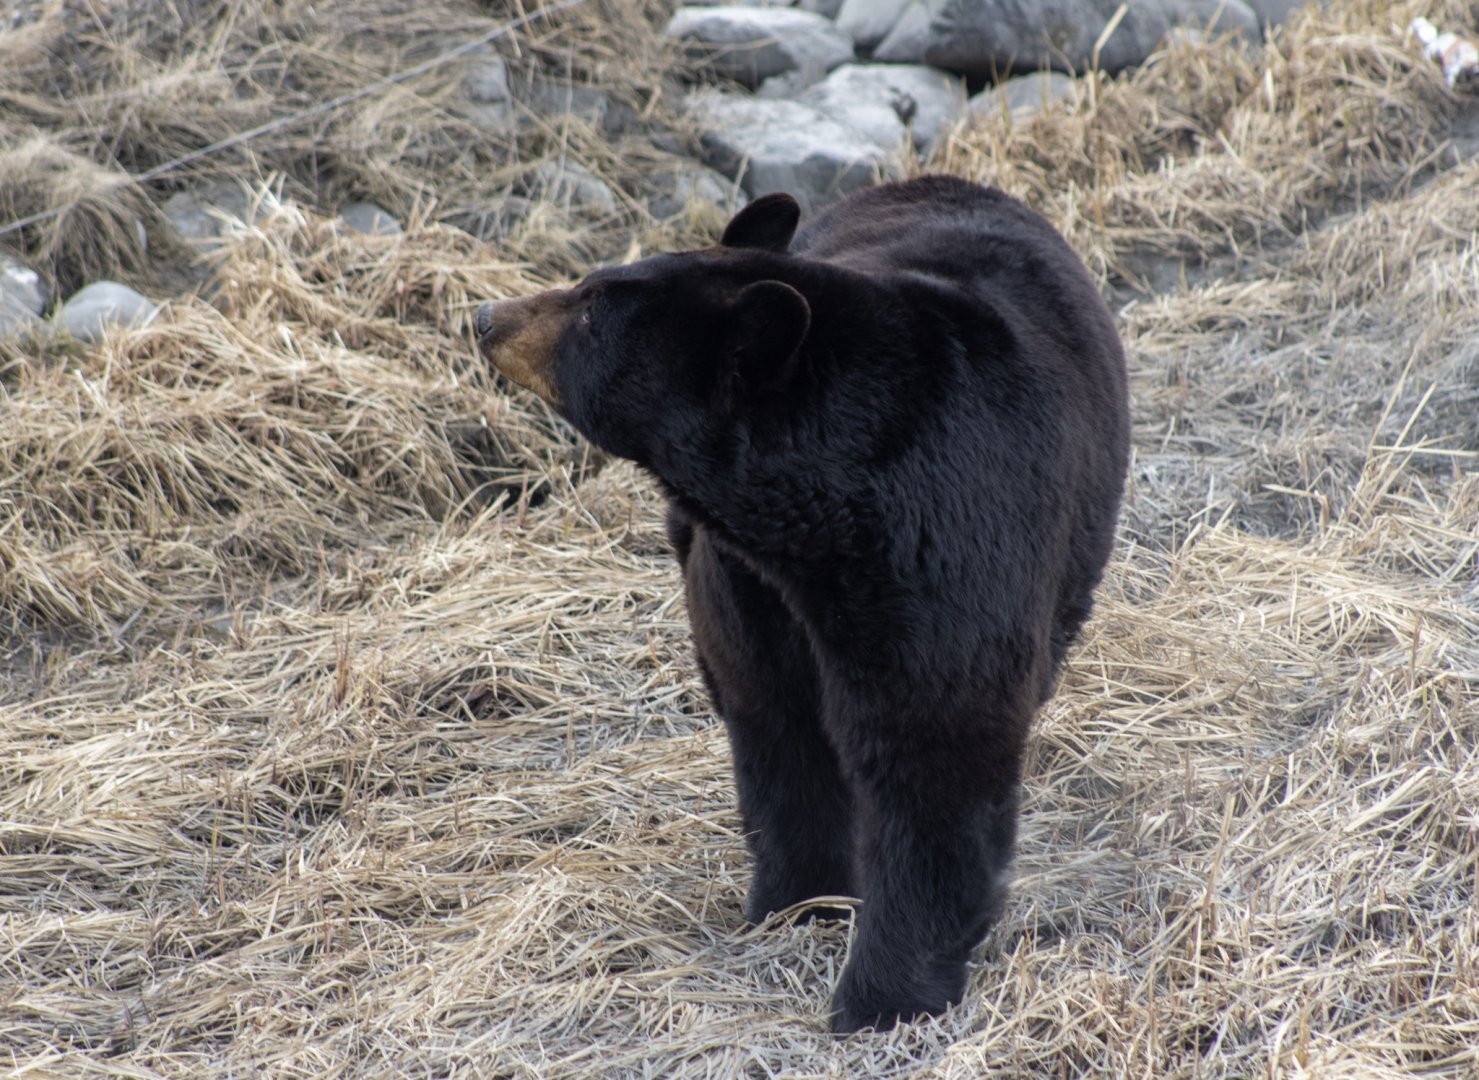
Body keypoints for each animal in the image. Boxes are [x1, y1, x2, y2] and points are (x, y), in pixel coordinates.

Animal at [473, 175, 1129, 1033]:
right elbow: (777, 724)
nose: (484, 316)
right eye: (587, 284)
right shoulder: (748, 583)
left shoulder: (946, 545)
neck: (823, 512)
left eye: (588, 309)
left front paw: (881, 994)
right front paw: (797, 903)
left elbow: (934, 743)